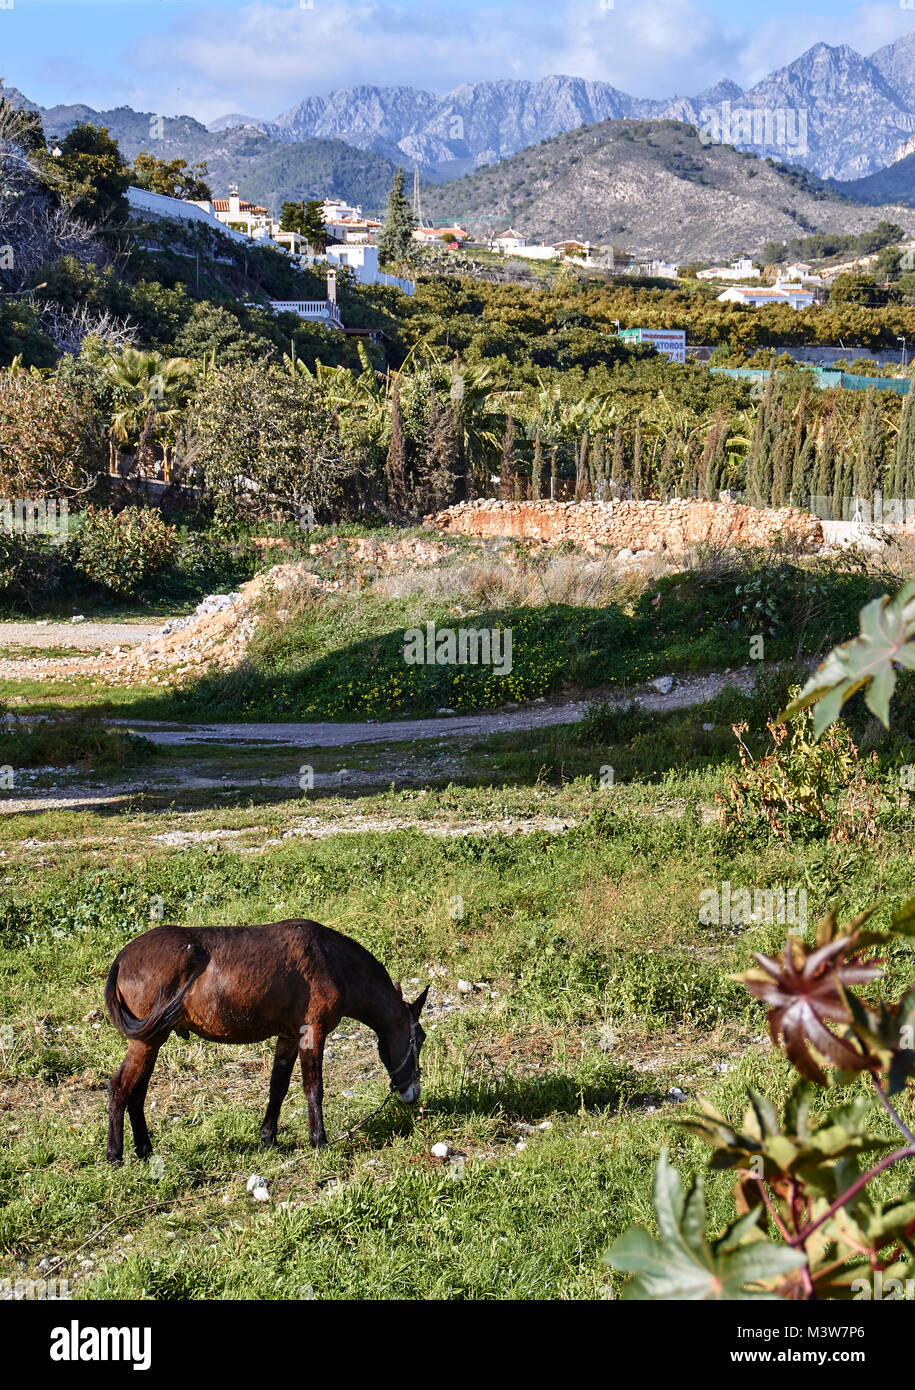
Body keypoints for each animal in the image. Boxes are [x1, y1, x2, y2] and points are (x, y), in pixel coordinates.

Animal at [103, 922, 428, 1162]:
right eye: (420, 1038)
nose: (412, 1092)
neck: (333, 962)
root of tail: (122, 959)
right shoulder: (313, 1031)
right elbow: (313, 1087)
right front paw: (319, 1140)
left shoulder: (288, 1036)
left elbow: (278, 1087)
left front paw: (268, 1137)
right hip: (147, 1040)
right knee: (120, 1087)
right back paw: (115, 1154)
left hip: (151, 1040)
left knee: (137, 1093)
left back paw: (145, 1150)